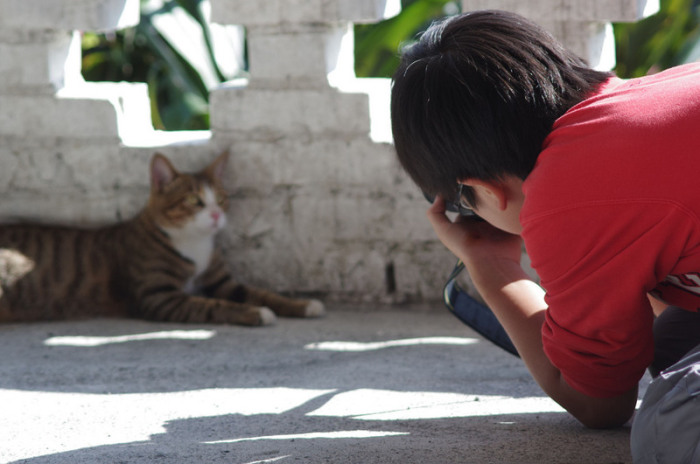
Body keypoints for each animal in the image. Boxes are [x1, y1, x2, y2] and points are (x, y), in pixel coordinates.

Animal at [0, 152, 324, 326]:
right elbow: (212, 305)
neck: (196, 245)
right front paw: (256, 313)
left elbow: (262, 293)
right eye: (194, 201)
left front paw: (303, 305)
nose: (216, 215)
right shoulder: (159, 297)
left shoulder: (223, 282)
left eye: (221, 199)